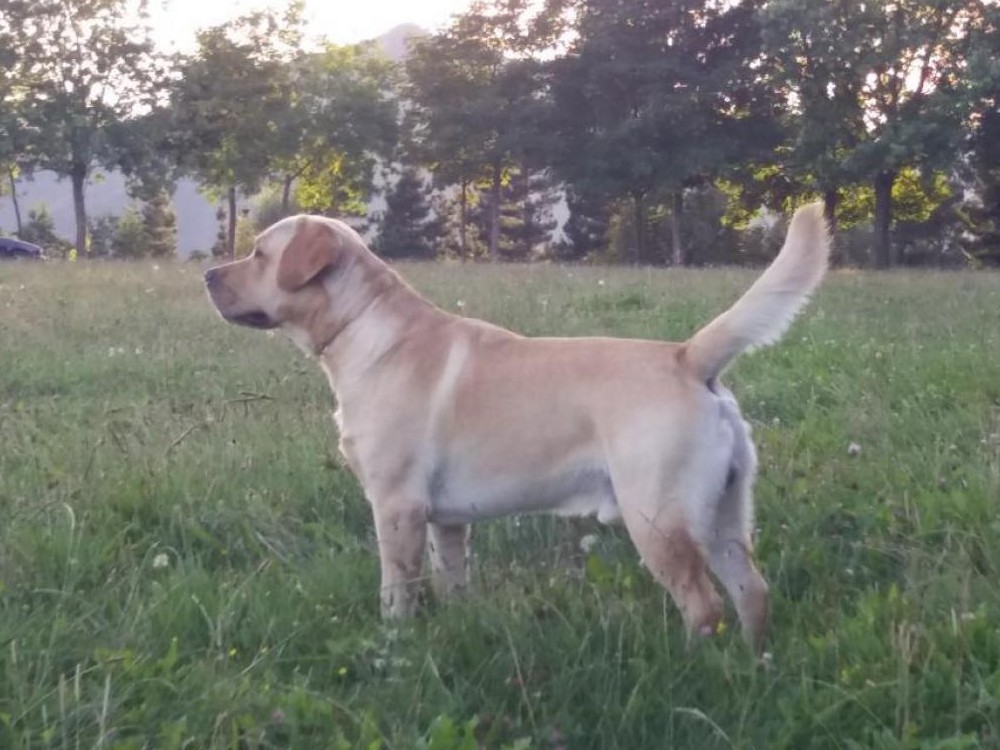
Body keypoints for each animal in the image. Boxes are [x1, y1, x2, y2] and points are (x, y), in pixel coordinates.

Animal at [204, 203, 829, 653]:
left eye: (259, 253)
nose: (208, 274)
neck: (362, 327)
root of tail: (687, 356)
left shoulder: (396, 505)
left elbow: (396, 590)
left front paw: (394, 644)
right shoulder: (446, 521)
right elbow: (452, 581)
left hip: (658, 519)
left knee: (704, 605)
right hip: (724, 515)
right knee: (752, 593)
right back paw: (751, 665)